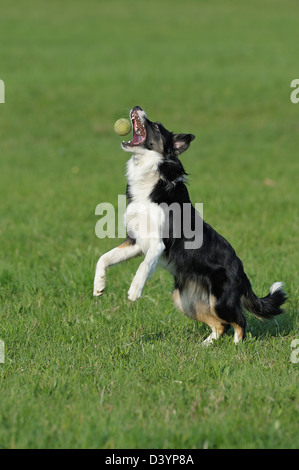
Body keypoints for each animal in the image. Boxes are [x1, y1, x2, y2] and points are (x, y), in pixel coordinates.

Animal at [94, 106, 288, 344]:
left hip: (220, 301)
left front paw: (134, 290)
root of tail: (242, 273)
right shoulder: (135, 241)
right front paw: (99, 286)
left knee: (239, 321)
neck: (152, 178)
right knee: (220, 325)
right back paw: (206, 345)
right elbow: (104, 258)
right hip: (184, 299)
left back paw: (236, 346)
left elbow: (144, 265)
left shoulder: (158, 244)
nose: (137, 107)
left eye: (156, 126)